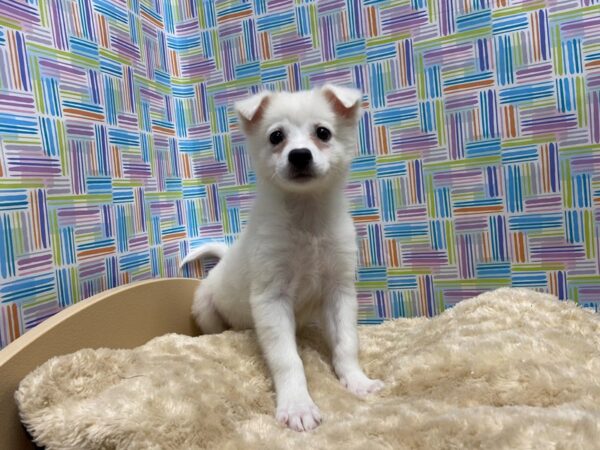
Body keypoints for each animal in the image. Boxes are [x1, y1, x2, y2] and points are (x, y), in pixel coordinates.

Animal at [180, 85, 382, 432]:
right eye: (276, 136)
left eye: (323, 133)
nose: (299, 155)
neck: (307, 220)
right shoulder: (271, 298)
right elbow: (288, 359)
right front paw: (298, 405)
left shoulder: (339, 292)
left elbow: (346, 343)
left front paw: (357, 381)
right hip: (206, 309)